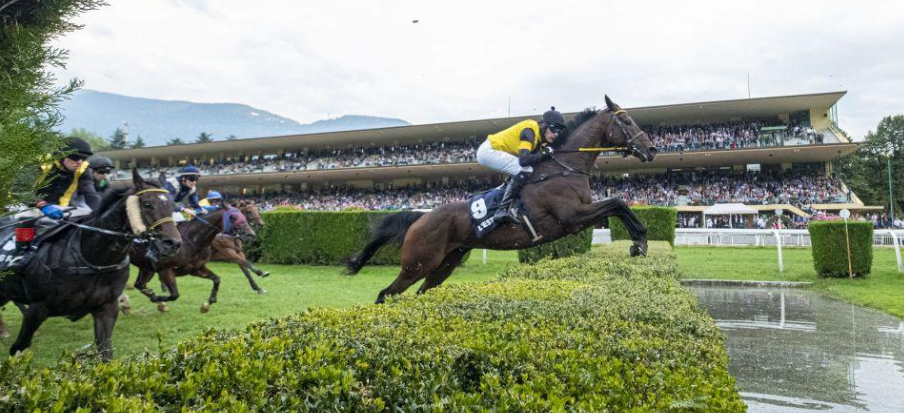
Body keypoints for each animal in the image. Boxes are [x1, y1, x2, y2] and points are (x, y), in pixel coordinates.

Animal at [0, 169, 182, 358]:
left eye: (172, 205)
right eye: (147, 204)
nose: (173, 244)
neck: (91, 259)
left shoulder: (106, 308)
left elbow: (105, 351)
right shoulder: (37, 309)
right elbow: (18, 347)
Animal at [348, 96, 656, 302]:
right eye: (627, 121)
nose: (652, 149)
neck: (565, 167)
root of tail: (420, 218)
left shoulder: (581, 215)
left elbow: (618, 206)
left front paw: (639, 241)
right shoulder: (572, 217)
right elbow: (618, 203)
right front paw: (639, 241)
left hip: (445, 263)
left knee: (422, 293)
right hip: (418, 263)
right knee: (386, 293)